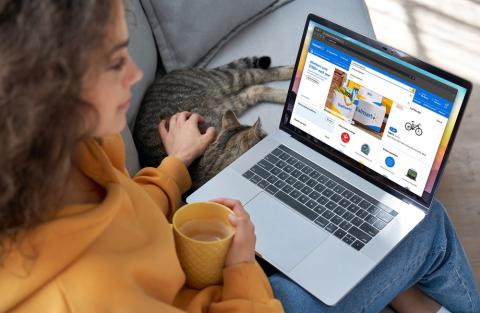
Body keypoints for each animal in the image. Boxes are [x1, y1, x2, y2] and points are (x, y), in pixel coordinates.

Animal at [133, 56, 294, 190]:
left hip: (229, 83)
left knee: (260, 74)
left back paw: (291, 73)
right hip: (231, 98)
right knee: (255, 87)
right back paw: (285, 93)